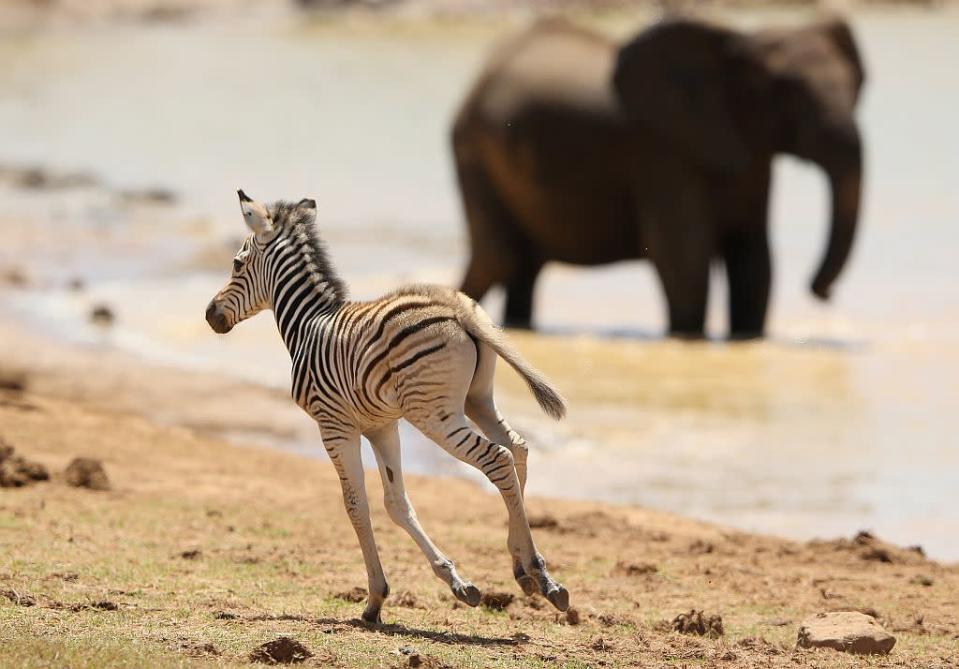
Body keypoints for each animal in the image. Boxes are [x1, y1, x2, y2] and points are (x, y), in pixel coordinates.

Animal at [205, 189, 568, 620]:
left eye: (236, 263)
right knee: (518, 450)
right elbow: (396, 503)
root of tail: (458, 308)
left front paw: (375, 598)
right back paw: (525, 570)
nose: (210, 315)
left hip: (435, 415)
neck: (309, 324)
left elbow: (356, 506)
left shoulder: (335, 426)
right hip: (477, 399)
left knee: (498, 459)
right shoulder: (381, 425)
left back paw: (541, 575)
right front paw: (455, 581)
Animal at [454, 14, 868, 340]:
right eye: (789, 90)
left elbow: (753, 259)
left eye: (857, 88)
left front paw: (747, 338)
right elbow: (686, 261)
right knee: (499, 256)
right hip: (473, 151)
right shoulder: (662, 153)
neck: (733, 42)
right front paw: (689, 338)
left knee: (520, 266)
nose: (823, 294)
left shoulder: (750, 156)